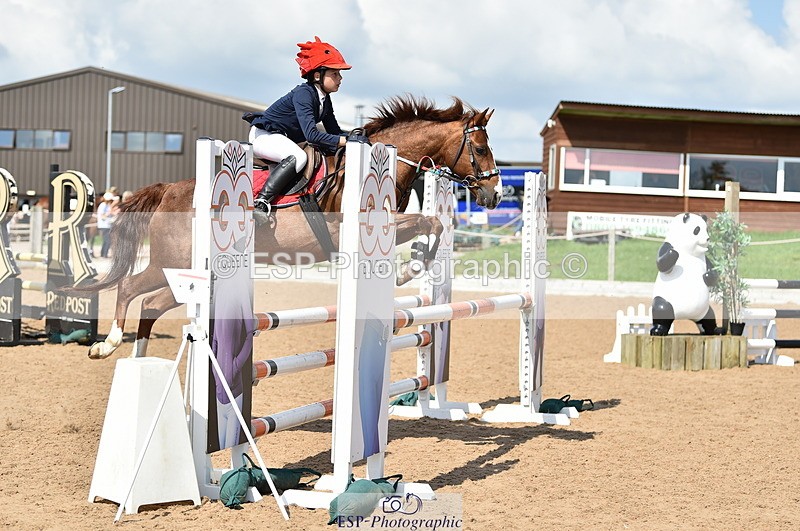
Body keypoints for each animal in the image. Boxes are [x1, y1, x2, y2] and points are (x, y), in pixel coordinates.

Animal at [84, 95, 502, 359]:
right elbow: (428, 220)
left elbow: (432, 223)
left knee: (150, 303)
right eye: (480, 150)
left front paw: (411, 266)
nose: (495, 194)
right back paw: (107, 345)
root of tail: (169, 189)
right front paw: (408, 271)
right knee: (131, 288)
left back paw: (138, 361)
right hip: (175, 263)